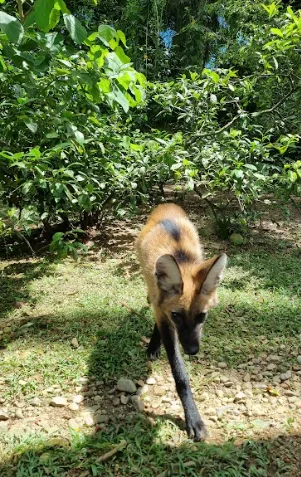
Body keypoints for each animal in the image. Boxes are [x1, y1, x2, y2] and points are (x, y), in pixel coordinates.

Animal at [135, 203, 226, 440]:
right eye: (177, 316)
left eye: (202, 316)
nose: (193, 350)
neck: (181, 258)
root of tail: (167, 204)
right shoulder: (165, 317)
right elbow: (181, 376)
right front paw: (193, 419)